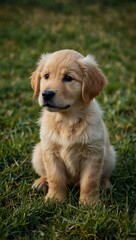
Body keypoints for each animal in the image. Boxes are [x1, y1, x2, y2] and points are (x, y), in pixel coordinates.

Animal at [30, 49, 116, 204]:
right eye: (46, 76)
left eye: (68, 78)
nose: (46, 94)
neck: (67, 120)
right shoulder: (50, 152)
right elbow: (55, 178)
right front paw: (54, 199)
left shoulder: (93, 154)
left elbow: (89, 181)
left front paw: (89, 203)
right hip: (38, 153)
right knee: (45, 174)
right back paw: (40, 182)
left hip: (110, 156)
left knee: (103, 175)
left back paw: (105, 184)